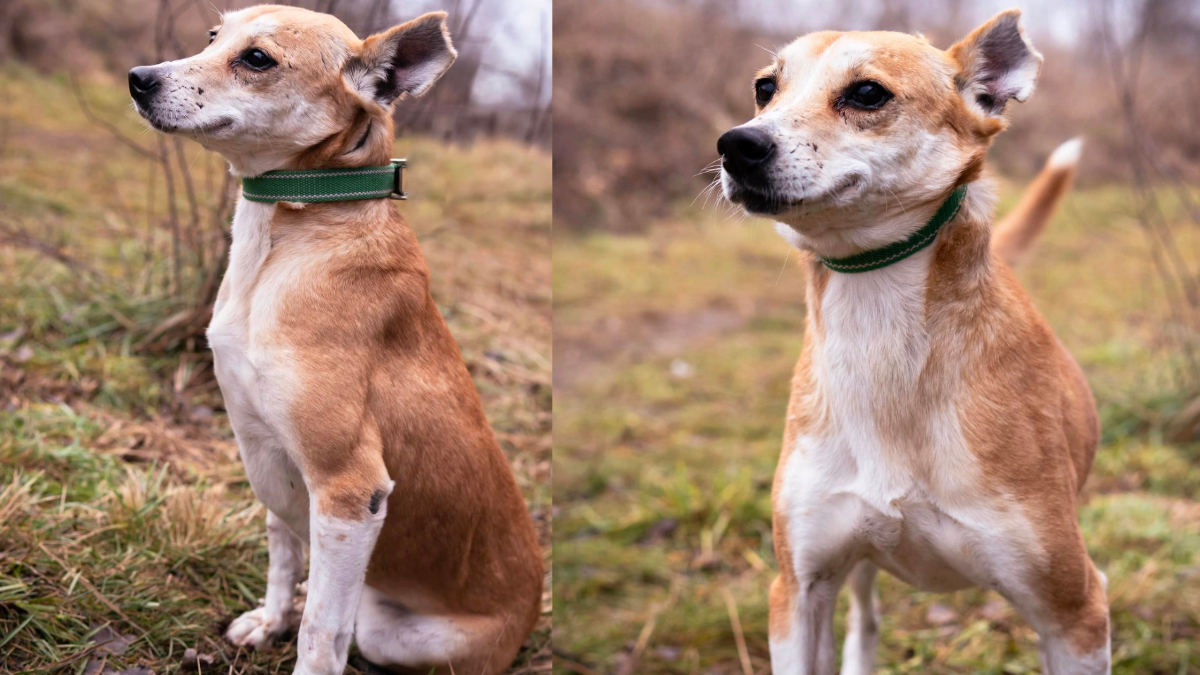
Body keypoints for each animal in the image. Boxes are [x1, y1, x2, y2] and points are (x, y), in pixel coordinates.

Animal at [130, 6, 540, 672]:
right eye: (214, 37)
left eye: (258, 59)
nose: (138, 78)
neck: (286, 233)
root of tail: (530, 618)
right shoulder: (267, 453)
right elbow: (281, 554)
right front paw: (272, 620)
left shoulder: (350, 490)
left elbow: (321, 632)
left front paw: (298, 636)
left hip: (392, 630)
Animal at [715, 10, 1108, 672]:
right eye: (765, 88)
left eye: (867, 93)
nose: (737, 144)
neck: (879, 336)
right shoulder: (797, 591)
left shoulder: (1075, 611)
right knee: (866, 618)